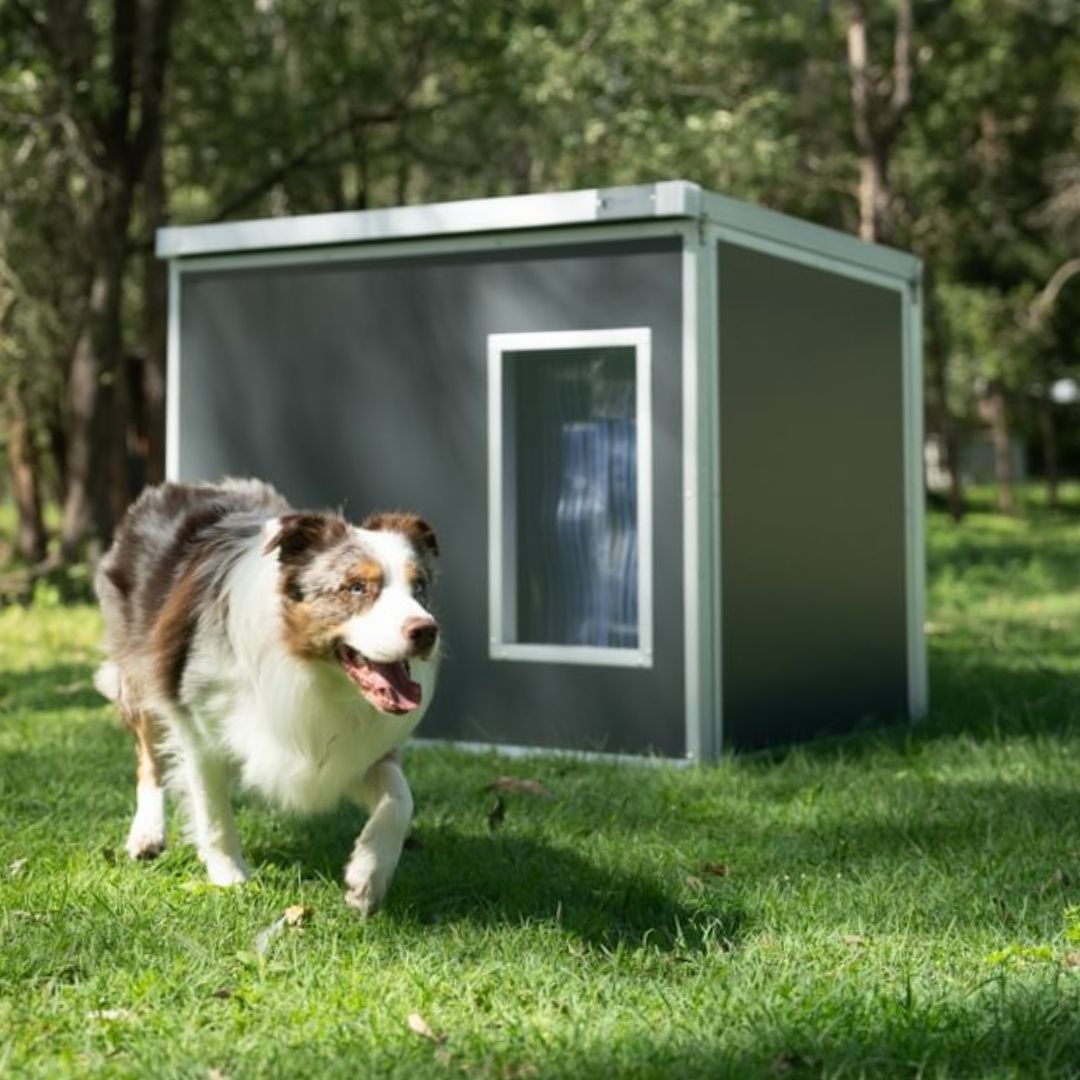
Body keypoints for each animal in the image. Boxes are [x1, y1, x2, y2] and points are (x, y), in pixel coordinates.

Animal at [92, 479, 438, 911]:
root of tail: (176, 487)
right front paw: (229, 879)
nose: (426, 631)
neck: (311, 669)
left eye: (419, 587)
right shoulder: (198, 728)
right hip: (139, 669)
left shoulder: (350, 751)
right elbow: (213, 812)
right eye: (357, 587)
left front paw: (368, 877)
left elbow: (401, 800)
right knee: (149, 759)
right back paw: (147, 834)